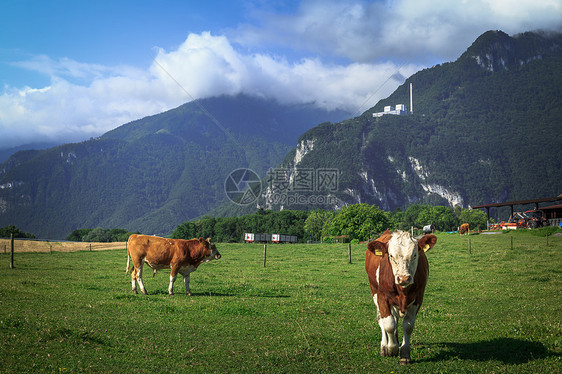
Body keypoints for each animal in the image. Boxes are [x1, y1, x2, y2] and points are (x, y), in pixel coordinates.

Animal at [364, 229, 438, 364]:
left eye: (414, 255)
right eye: (391, 256)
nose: (403, 278)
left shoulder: (418, 298)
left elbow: (408, 326)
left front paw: (404, 353)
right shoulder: (382, 297)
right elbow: (388, 324)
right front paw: (392, 349)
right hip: (374, 292)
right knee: (382, 320)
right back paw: (384, 346)